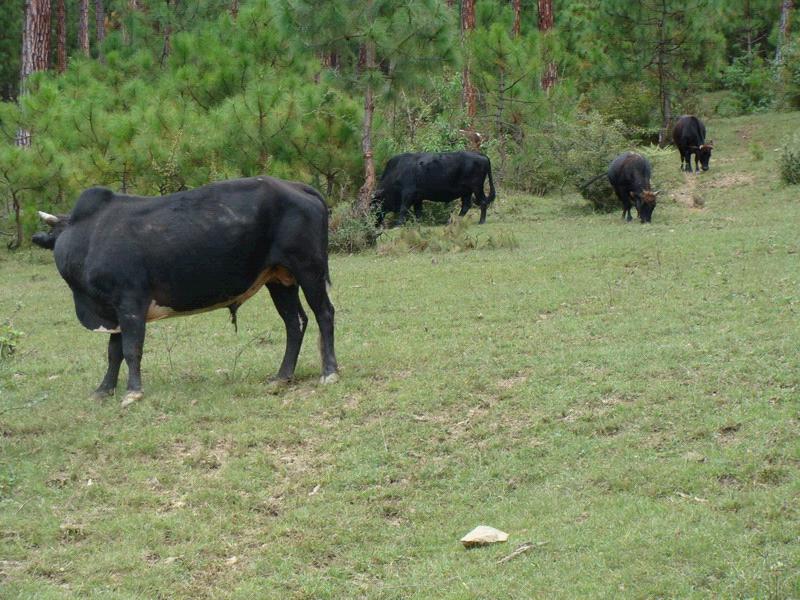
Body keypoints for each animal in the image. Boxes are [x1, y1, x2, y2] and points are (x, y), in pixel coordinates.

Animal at [32, 175, 340, 408]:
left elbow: (131, 349)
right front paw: (104, 389)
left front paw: (133, 391)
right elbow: (113, 352)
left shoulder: (130, 302)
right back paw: (282, 376)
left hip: (308, 269)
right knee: (295, 322)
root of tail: (296, 186)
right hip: (279, 278)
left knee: (324, 314)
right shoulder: (113, 310)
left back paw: (330, 372)